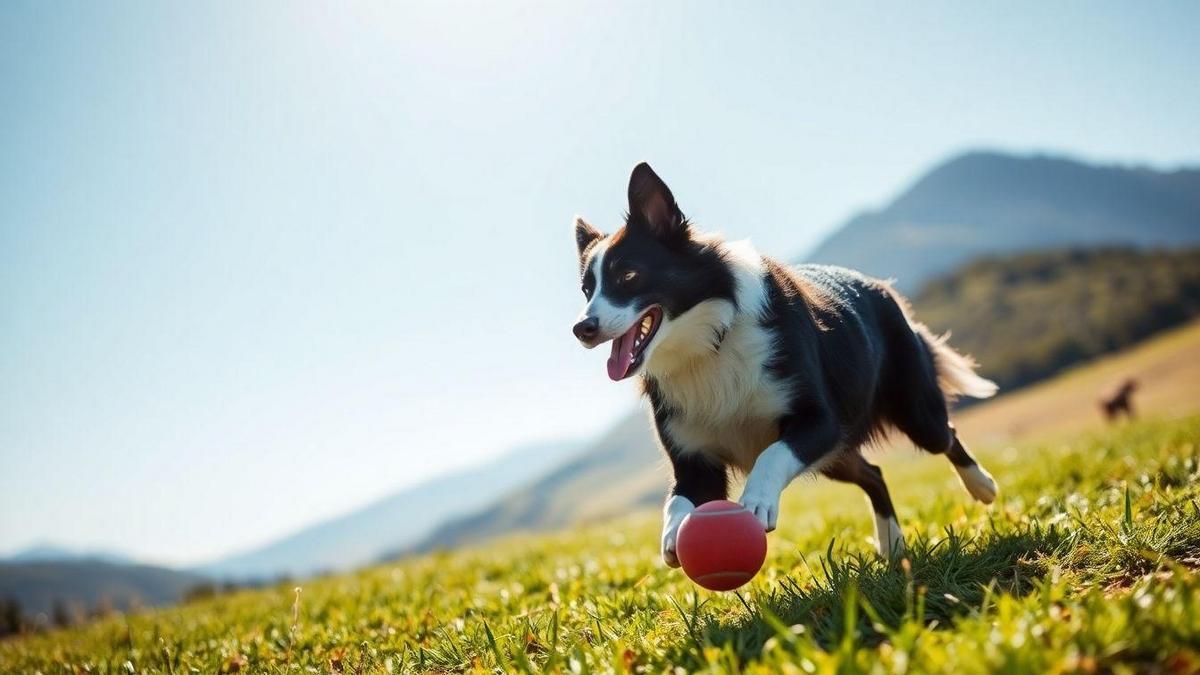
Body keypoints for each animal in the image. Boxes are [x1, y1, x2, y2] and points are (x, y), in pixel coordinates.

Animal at [566, 162, 998, 562]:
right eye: (587, 290)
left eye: (628, 275)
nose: (581, 328)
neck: (709, 343)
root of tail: (882, 287)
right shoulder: (694, 459)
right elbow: (677, 499)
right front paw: (674, 533)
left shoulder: (819, 421)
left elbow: (771, 454)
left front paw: (756, 501)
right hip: (836, 455)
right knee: (873, 474)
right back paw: (892, 547)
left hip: (911, 411)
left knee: (945, 435)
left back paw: (982, 485)